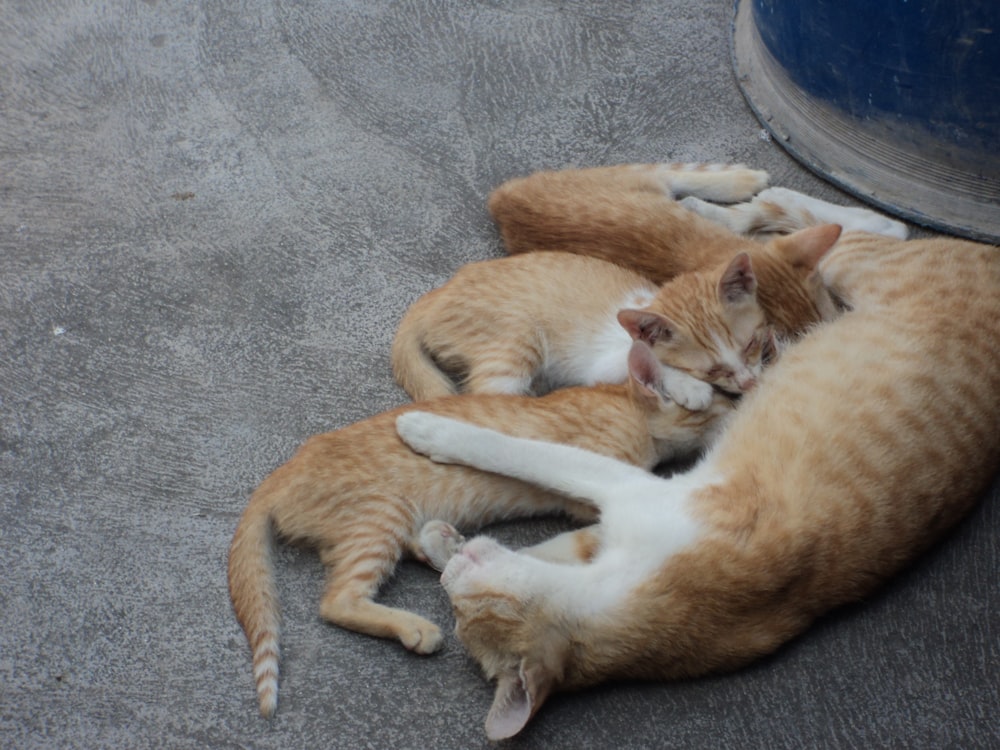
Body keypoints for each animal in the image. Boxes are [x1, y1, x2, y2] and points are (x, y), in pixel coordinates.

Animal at [227, 340, 732, 716]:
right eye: (725, 406)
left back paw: (443, 546)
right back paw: (413, 625)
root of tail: (282, 473)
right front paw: (690, 390)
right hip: (381, 517)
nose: (740, 398)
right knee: (337, 601)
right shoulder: (593, 476)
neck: (625, 410)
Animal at [398, 234, 1000, 740]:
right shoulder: (602, 534)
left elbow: (525, 453)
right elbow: (546, 544)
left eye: (463, 610)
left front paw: (431, 431)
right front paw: (440, 542)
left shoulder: (628, 486)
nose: (450, 578)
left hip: (862, 263)